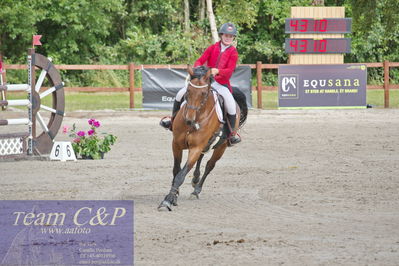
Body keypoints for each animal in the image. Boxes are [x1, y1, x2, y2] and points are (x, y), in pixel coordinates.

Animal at [159, 65, 247, 211]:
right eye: (188, 91)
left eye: (204, 94)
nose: (189, 120)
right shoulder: (176, 144)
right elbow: (176, 170)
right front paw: (174, 195)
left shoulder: (195, 148)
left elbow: (181, 175)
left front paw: (168, 200)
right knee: (201, 158)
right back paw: (195, 179)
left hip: (221, 147)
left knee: (209, 166)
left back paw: (196, 190)